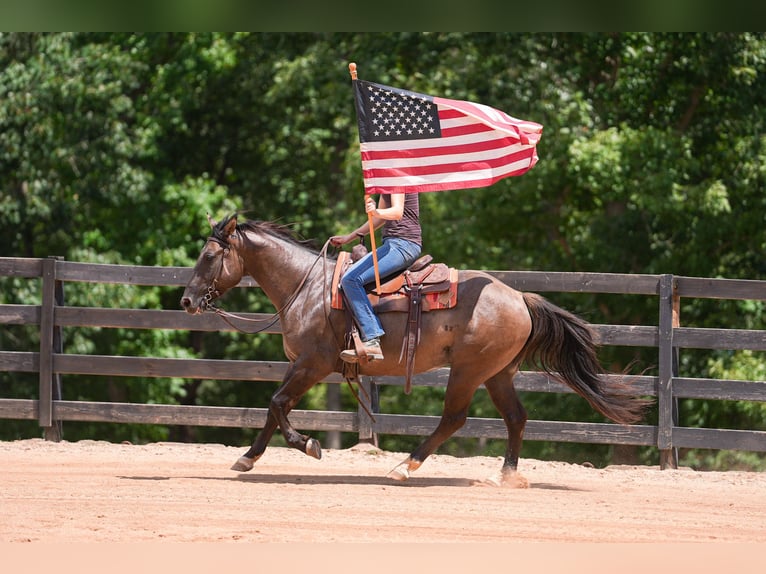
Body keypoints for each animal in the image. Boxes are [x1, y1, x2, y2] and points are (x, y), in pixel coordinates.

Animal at [180, 214, 650, 487]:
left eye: (208, 256)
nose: (186, 300)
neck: (307, 287)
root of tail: (519, 297)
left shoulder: (313, 363)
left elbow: (278, 404)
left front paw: (309, 445)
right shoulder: (299, 364)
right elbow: (272, 408)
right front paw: (247, 458)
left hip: (468, 371)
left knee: (454, 418)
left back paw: (406, 466)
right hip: (497, 373)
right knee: (516, 417)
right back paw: (505, 475)